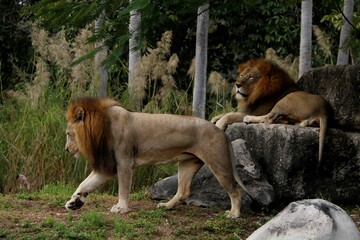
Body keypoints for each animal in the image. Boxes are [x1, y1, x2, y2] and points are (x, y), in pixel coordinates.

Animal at [64, 96, 253, 218]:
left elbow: (123, 189)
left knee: (235, 190)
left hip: (218, 163)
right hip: (188, 163)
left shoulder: (124, 163)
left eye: (68, 134)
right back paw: (166, 206)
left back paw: (234, 214)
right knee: (183, 191)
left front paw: (121, 208)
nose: (66, 150)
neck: (101, 129)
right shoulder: (107, 165)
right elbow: (85, 183)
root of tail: (220, 130)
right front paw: (74, 202)